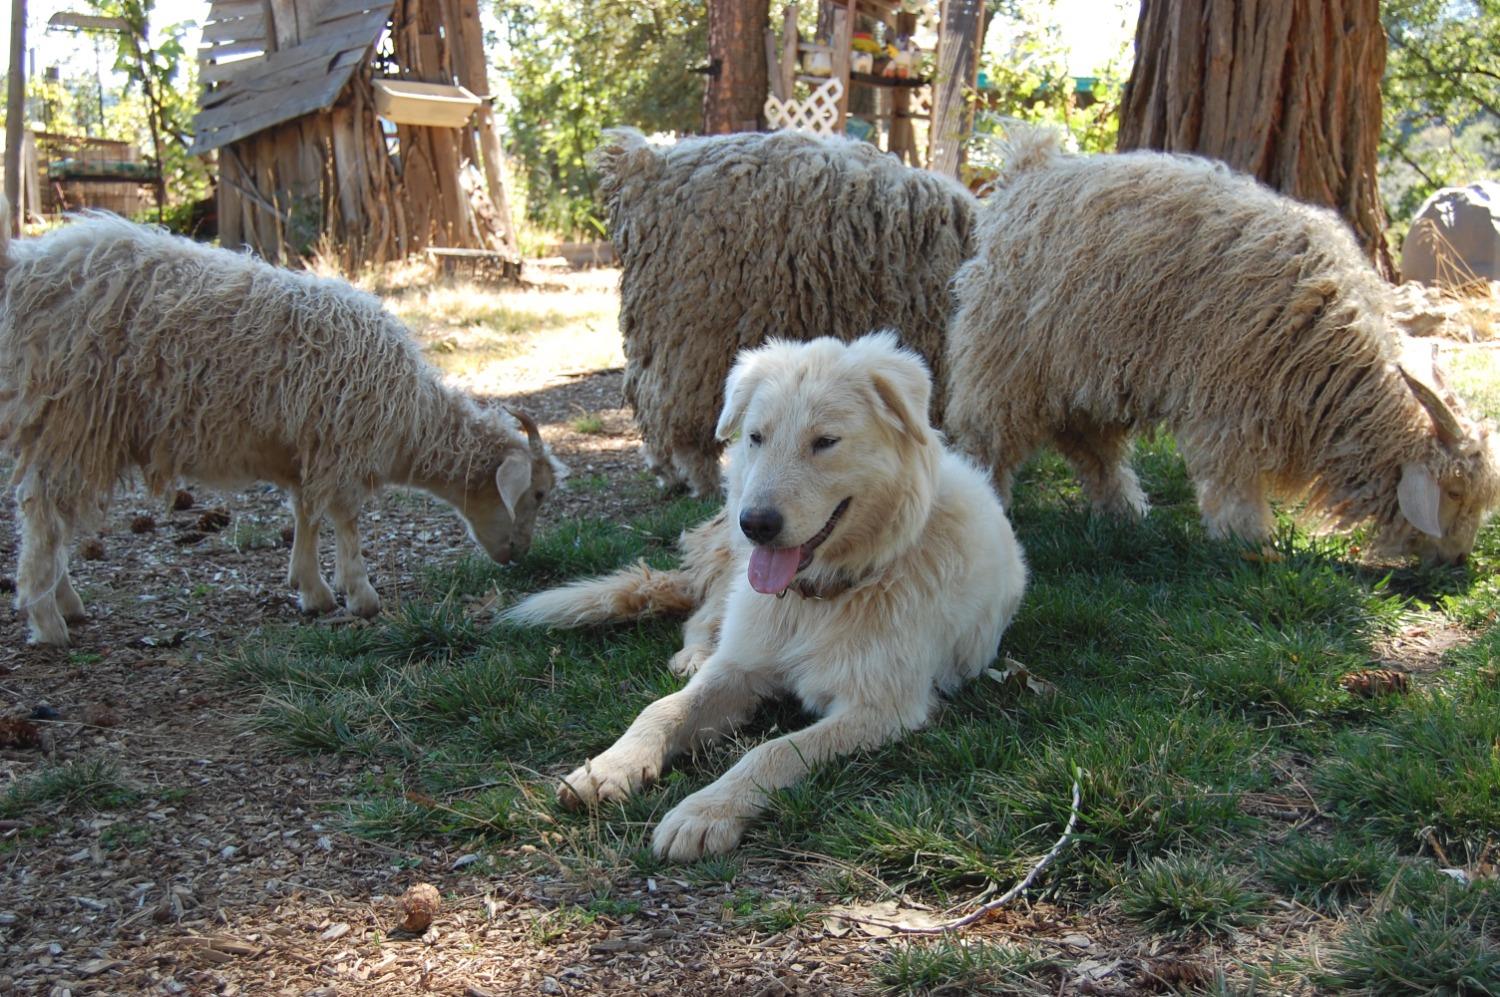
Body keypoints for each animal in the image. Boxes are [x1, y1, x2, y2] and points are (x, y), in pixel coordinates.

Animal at [0, 209, 564, 644]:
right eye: (536, 494)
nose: (520, 555)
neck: (409, 413)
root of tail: (26, 268)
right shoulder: (342, 444)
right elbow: (345, 520)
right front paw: (360, 595)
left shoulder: (306, 449)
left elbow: (305, 515)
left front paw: (311, 589)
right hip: (71, 417)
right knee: (42, 510)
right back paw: (47, 621)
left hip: (63, 427)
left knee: (50, 514)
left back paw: (64, 602)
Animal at [510, 332, 1026, 857]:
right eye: (756, 437)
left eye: (825, 442)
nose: (755, 524)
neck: (823, 594)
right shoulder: (740, 667)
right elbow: (663, 708)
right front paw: (611, 765)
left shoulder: (880, 709)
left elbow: (773, 750)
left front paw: (706, 811)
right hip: (730, 571)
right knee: (700, 617)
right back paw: (694, 655)